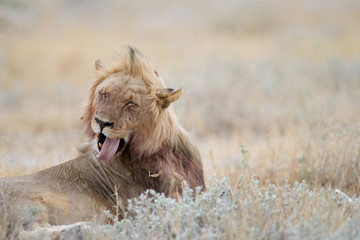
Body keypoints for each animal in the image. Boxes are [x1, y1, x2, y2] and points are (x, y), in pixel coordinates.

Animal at [0, 46, 202, 238]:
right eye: (104, 94)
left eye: (130, 103)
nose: (101, 122)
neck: (164, 151)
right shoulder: (141, 207)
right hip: (25, 204)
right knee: (25, 231)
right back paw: (83, 230)